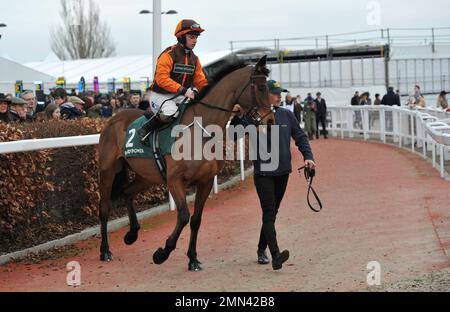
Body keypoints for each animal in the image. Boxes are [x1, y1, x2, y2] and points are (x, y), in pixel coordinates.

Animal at [98, 55, 274, 270]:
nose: (270, 121)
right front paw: (162, 253)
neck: (201, 130)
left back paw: (132, 234)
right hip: (107, 170)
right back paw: (105, 250)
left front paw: (193, 259)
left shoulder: (206, 181)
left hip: (146, 176)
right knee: (104, 208)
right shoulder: (175, 180)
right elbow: (183, 216)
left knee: (126, 192)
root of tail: (113, 118)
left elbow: (196, 219)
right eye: (261, 88)